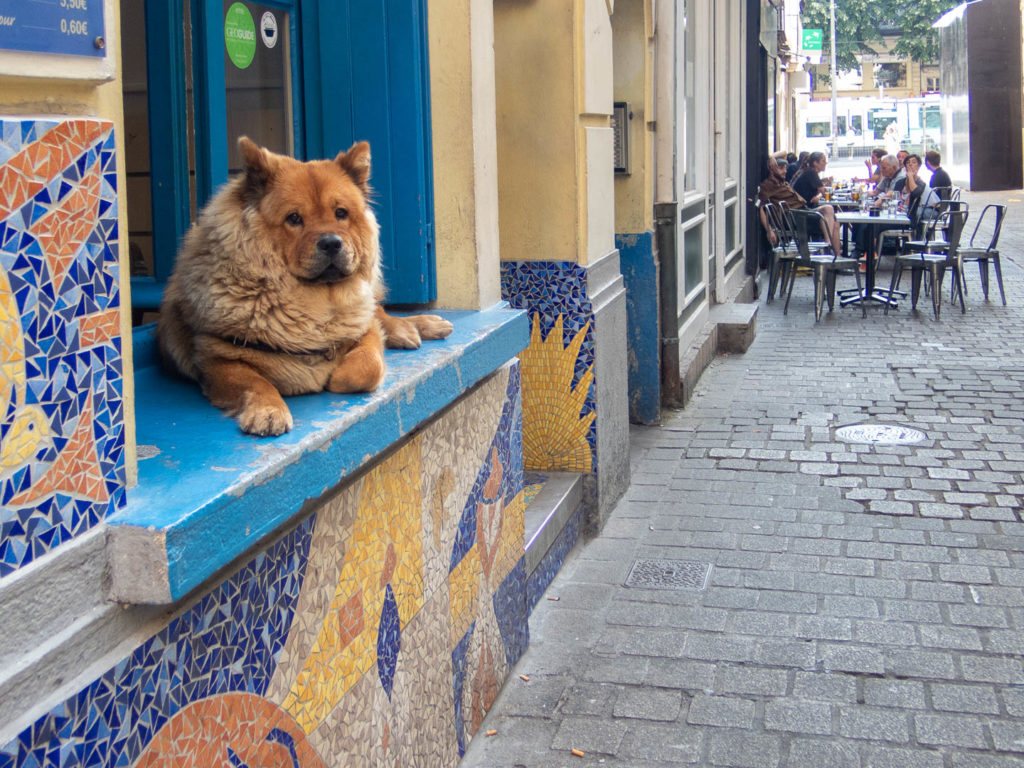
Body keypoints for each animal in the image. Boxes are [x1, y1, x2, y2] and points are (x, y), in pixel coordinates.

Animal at [156, 137, 452, 436]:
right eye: (294, 218)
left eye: (341, 213)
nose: (331, 243)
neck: (314, 304)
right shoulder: (216, 358)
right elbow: (257, 383)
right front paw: (268, 411)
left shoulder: (363, 333)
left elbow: (367, 364)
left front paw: (336, 377)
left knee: (380, 313)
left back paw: (418, 326)